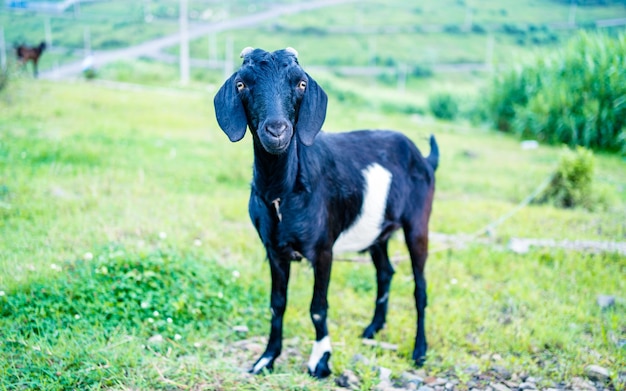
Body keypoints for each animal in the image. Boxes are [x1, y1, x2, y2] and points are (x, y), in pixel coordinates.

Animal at [212, 46, 436, 380]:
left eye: (301, 83)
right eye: (242, 84)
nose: (276, 130)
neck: (282, 193)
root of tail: (424, 158)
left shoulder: (323, 250)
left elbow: (318, 307)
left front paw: (320, 360)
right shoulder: (274, 250)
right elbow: (277, 303)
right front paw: (267, 358)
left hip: (418, 223)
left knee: (419, 287)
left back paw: (419, 351)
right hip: (377, 232)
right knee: (385, 272)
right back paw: (372, 329)